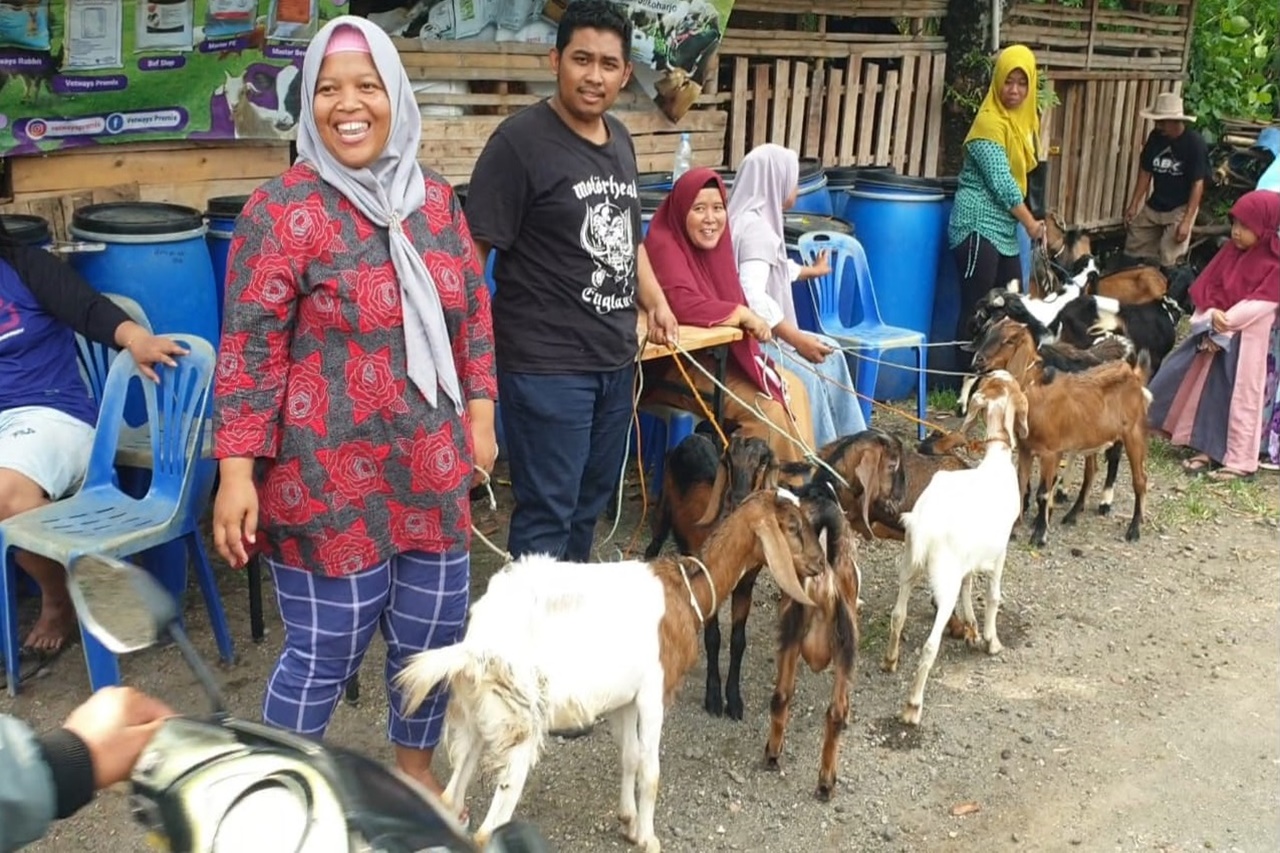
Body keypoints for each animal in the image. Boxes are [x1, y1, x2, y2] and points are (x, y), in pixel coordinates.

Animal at [394, 489, 824, 845]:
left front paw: (628, 822)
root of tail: (475, 646)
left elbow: (630, 757)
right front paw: (649, 839)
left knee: (450, 799)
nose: (819, 564)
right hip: (519, 726)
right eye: (791, 526)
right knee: (487, 832)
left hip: (477, 720)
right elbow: (650, 771)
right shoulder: (653, 694)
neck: (686, 591)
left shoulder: (624, 699)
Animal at [880, 368, 1029, 722]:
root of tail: (925, 525)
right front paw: (990, 640)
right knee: (929, 646)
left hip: (909, 566)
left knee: (898, 614)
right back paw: (913, 707)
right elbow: (992, 595)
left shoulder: (969, 558)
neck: (995, 461)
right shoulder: (1000, 551)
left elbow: (968, 585)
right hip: (941, 583)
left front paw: (972, 629)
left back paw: (890, 661)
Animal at [967, 317, 1152, 545]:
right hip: (1091, 438)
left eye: (1009, 341)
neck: (1035, 393)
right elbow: (1021, 485)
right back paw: (1072, 514)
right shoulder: (1026, 449)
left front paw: (1039, 534)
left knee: (1140, 479)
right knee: (1091, 472)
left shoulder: (1051, 452)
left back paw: (1133, 529)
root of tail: (1134, 375)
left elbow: (1043, 493)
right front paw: (1014, 529)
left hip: (1134, 433)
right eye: (988, 332)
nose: (978, 360)